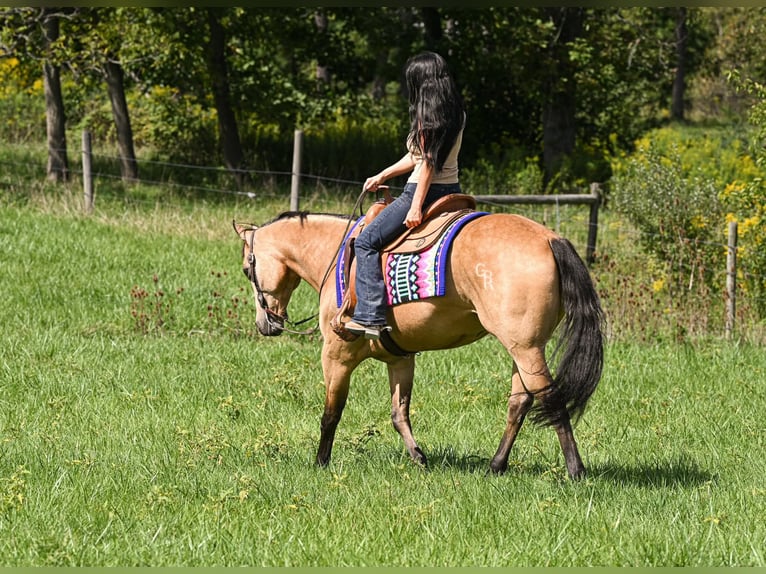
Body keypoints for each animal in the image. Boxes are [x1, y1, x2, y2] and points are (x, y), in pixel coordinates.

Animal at [233, 206, 604, 479]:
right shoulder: (401, 358)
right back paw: (495, 466)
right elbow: (399, 414)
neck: (337, 254)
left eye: (247, 270)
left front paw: (320, 462)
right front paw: (418, 457)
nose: (265, 324)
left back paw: (575, 470)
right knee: (520, 402)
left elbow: (331, 413)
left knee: (550, 398)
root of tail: (551, 238)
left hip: (526, 350)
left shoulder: (336, 355)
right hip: (524, 348)